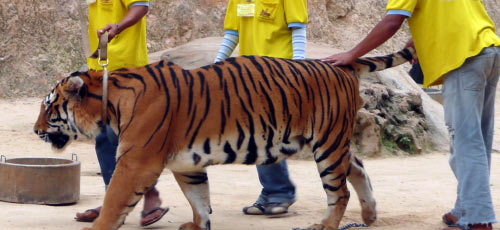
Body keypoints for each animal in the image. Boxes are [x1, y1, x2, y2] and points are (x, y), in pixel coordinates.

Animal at [32, 47, 414, 230]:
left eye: (49, 107)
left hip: (327, 144)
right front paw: (197, 225)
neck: (110, 100)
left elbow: (114, 202)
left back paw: (326, 226)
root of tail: (341, 64)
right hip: (332, 144)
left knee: (340, 190)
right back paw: (369, 216)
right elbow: (199, 199)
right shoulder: (186, 164)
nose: (35, 131)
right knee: (359, 167)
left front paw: (97, 227)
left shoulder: (136, 162)